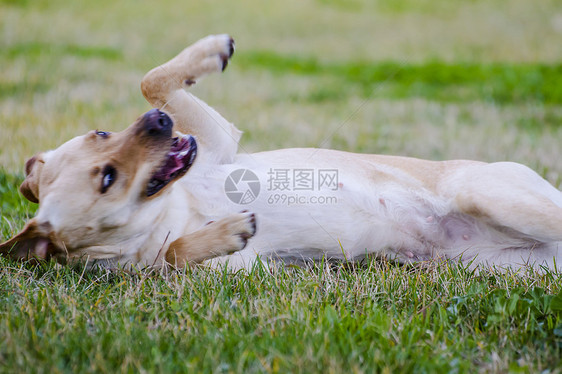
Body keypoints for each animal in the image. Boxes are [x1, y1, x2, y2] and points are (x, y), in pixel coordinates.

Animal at [1, 35, 560, 272]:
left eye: (99, 133)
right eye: (108, 179)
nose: (158, 124)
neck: (176, 209)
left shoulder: (217, 144)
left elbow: (151, 79)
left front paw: (210, 51)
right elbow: (175, 254)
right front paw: (223, 233)